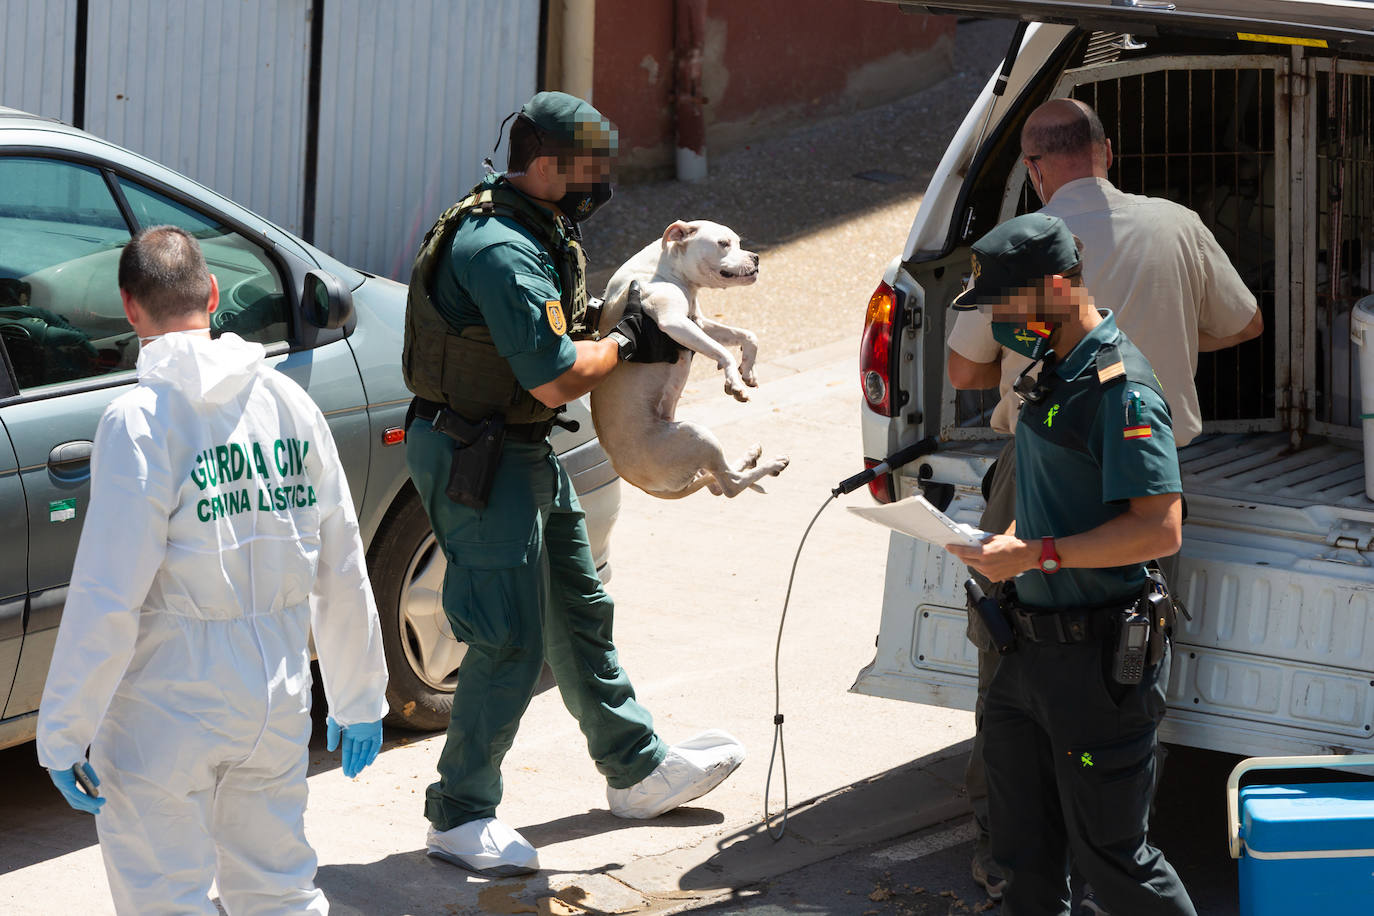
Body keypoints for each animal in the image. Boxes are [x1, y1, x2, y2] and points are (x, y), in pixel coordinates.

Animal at [590, 218, 796, 497]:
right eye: (723, 243)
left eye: (738, 242)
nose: (756, 257)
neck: (665, 266)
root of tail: (640, 483)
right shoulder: (675, 323)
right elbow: (724, 353)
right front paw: (734, 382)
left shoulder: (698, 322)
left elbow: (747, 336)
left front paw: (748, 370)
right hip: (696, 436)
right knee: (730, 485)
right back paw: (772, 464)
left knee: (718, 482)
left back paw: (751, 457)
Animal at [950, 215, 1198, 916]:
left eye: (998, 298)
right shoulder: (1011, 720)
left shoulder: (1133, 408)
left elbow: (1151, 524)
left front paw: (1012, 554)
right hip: (1020, 721)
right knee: (1030, 843)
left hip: (1096, 735)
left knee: (1113, 850)